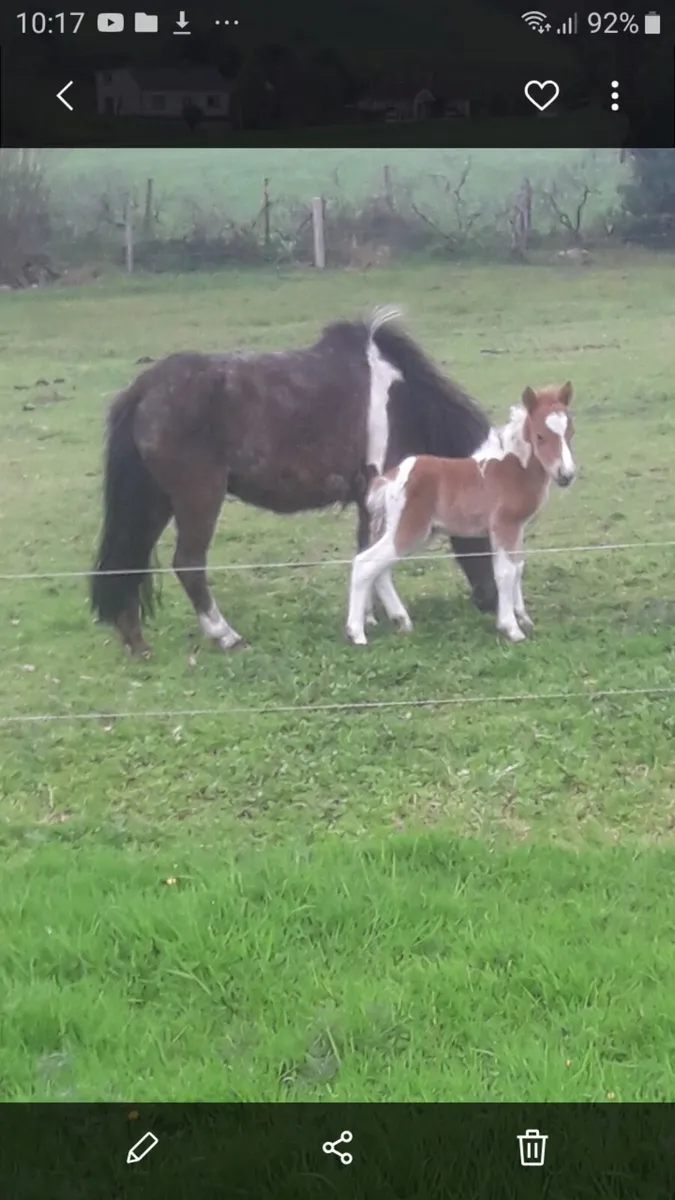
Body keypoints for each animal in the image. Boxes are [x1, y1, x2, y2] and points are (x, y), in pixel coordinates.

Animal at [90, 307, 498, 656]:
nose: (491, 601)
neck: (402, 401)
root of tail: (144, 389)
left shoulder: (367, 499)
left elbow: (364, 552)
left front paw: (366, 617)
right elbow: (378, 558)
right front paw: (390, 619)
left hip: (155, 501)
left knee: (131, 559)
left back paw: (136, 641)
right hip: (199, 497)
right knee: (188, 565)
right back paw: (226, 636)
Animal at [345, 381, 575, 646]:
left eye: (570, 432)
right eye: (539, 436)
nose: (566, 475)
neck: (513, 469)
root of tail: (390, 478)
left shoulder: (517, 528)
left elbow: (518, 568)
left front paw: (524, 619)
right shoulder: (504, 526)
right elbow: (505, 573)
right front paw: (511, 628)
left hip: (405, 531)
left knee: (381, 570)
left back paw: (402, 622)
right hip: (410, 529)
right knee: (365, 563)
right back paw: (356, 633)